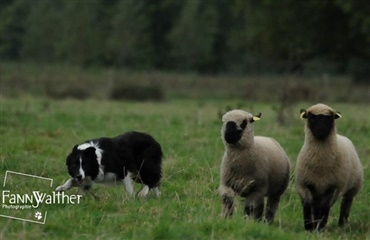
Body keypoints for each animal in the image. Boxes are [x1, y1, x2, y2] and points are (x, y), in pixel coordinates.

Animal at [294, 103, 364, 231]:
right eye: (311, 117)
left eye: (329, 118)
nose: (321, 131)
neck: (321, 162)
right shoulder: (305, 185)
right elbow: (307, 205)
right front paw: (309, 227)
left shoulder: (332, 187)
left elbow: (325, 207)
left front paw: (320, 227)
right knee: (316, 206)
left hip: (352, 188)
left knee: (345, 206)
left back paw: (342, 224)